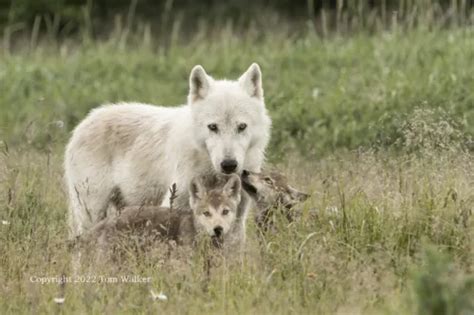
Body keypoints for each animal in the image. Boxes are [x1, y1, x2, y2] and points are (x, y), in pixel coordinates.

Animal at [64, 63, 270, 238]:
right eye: (213, 127)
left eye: (241, 127)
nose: (229, 164)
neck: (211, 171)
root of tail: (83, 123)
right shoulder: (176, 205)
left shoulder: (235, 216)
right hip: (91, 212)